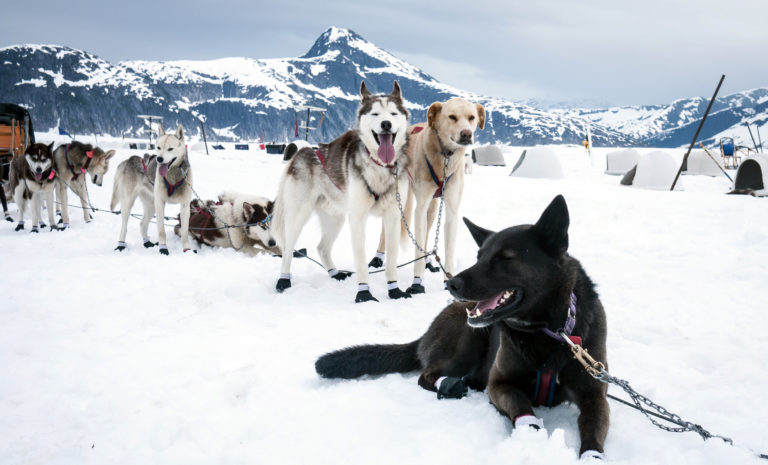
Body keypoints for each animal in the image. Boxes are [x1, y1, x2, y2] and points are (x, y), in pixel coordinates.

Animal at [368, 98, 484, 294]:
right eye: (452, 117)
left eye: (471, 117)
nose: (467, 134)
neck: (445, 158)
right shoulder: (419, 209)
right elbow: (418, 250)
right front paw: (417, 282)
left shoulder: (452, 211)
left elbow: (448, 249)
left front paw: (448, 280)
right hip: (400, 199)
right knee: (386, 230)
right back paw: (378, 257)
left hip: (432, 208)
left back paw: (429, 259)